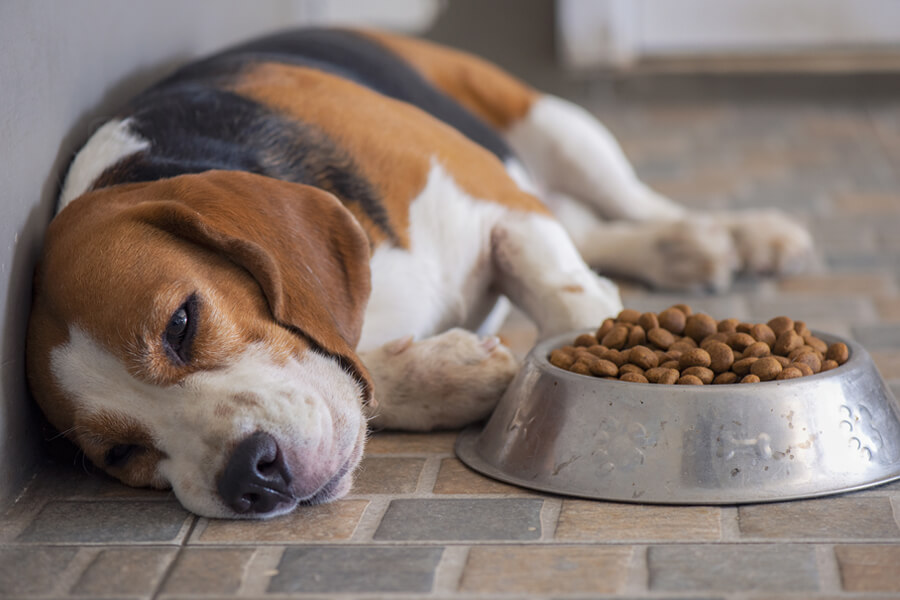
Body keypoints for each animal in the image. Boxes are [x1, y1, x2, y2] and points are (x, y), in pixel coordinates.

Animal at [24, 28, 812, 516]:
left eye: (181, 324)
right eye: (121, 454)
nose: (248, 474)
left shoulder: (495, 199)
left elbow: (567, 304)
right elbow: (363, 372)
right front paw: (449, 377)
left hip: (554, 124)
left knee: (634, 199)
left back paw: (728, 237)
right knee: (594, 226)